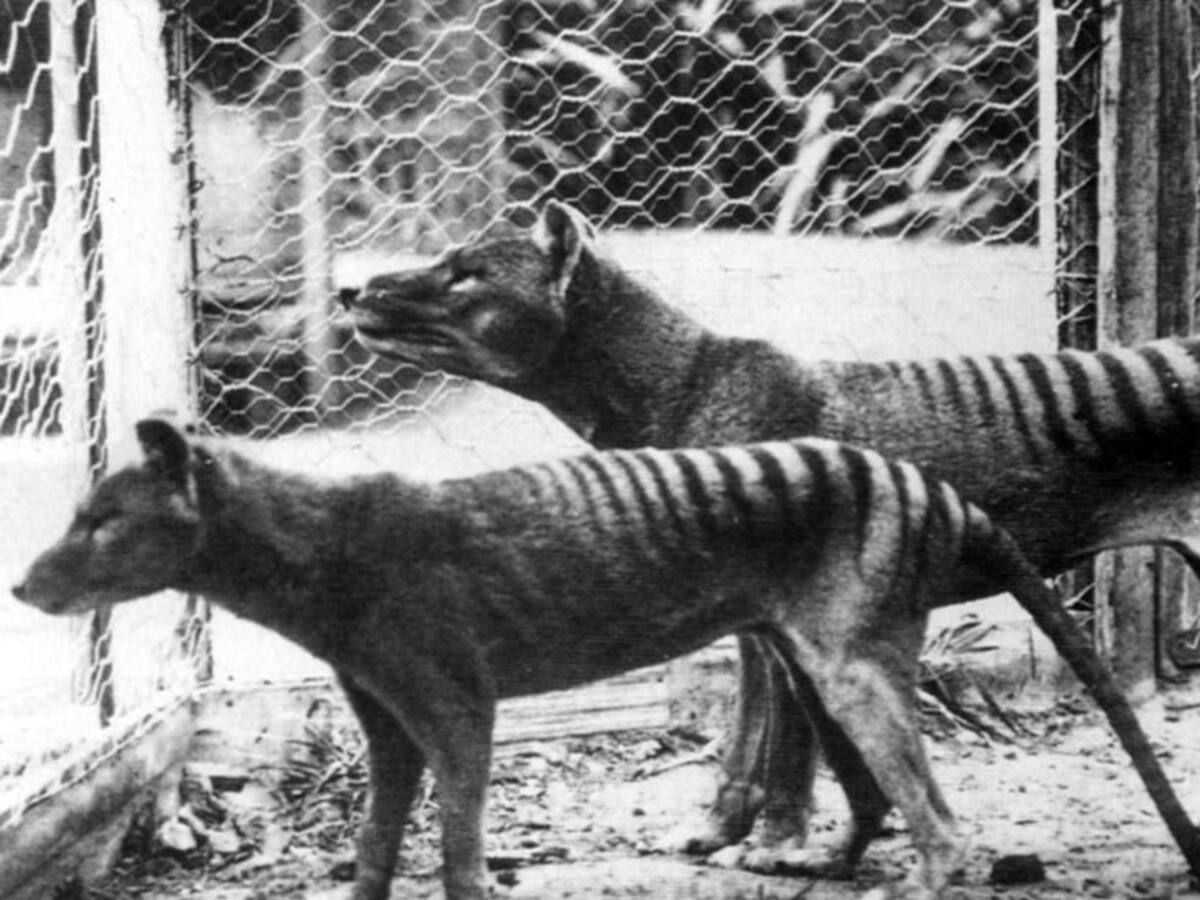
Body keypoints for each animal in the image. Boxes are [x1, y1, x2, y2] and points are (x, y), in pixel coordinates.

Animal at [13, 418, 1200, 900]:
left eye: (102, 521)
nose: (23, 587)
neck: (319, 543)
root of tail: (930, 485)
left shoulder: (457, 704)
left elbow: (456, 851)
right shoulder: (385, 720)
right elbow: (373, 849)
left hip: (852, 663)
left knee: (944, 827)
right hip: (814, 659)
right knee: (873, 802)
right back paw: (818, 864)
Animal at [342, 199, 1200, 874]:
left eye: (468, 273)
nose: (351, 289)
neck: (686, 382)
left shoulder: (783, 606)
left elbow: (781, 741)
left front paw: (776, 842)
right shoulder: (755, 614)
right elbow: (751, 736)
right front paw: (719, 830)